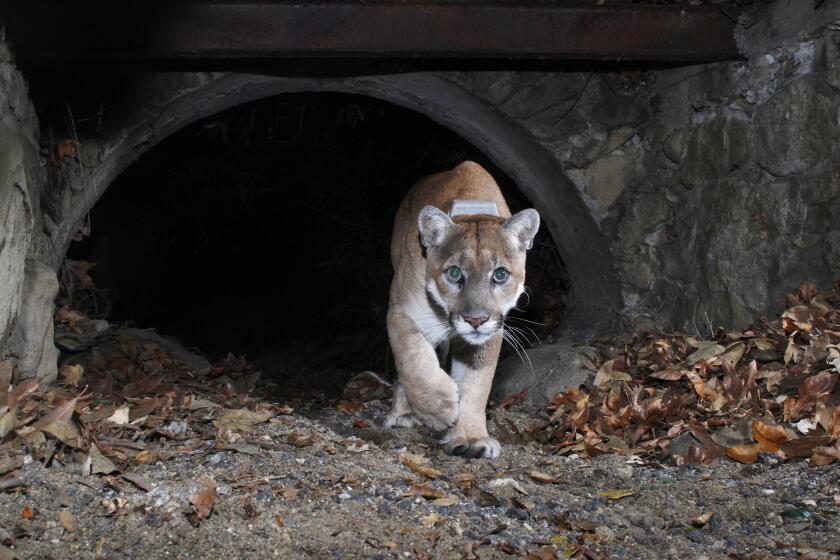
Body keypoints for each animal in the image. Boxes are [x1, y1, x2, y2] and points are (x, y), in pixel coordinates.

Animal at [386, 162, 540, 460]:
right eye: (454, 273)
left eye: (500, 275)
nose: (475, 320)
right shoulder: (401, 312)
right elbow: (414, 358)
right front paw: (440, 408)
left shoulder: (491, 333)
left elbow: (476, 384)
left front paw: (470, 437)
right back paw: (402, 413)